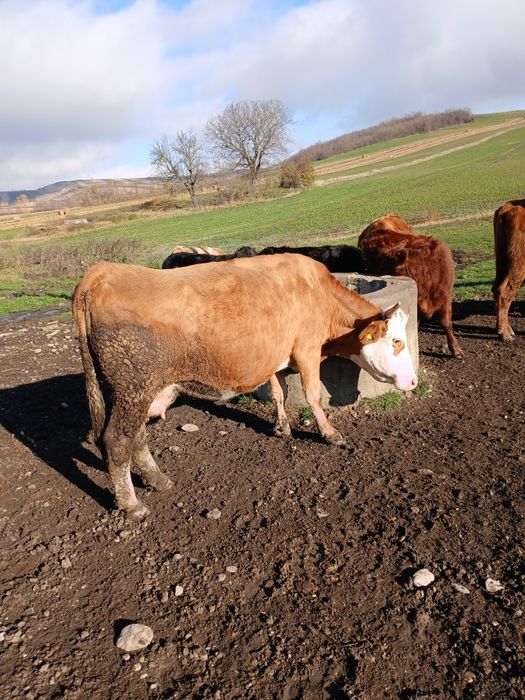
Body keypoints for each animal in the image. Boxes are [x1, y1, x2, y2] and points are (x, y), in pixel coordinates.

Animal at [73, 254, 417, 519]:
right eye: (396, 341)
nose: (413, 380)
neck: (318, 293)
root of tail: (102, 272)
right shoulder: (307, 350)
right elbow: (313, 395)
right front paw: (330, 433)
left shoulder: (277, 356)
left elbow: (280, 393)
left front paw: (282, 427)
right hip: (134, 387)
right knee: (118, 440)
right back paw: (132, 504)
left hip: (130, 391)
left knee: (137, 437)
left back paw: (157, 479)